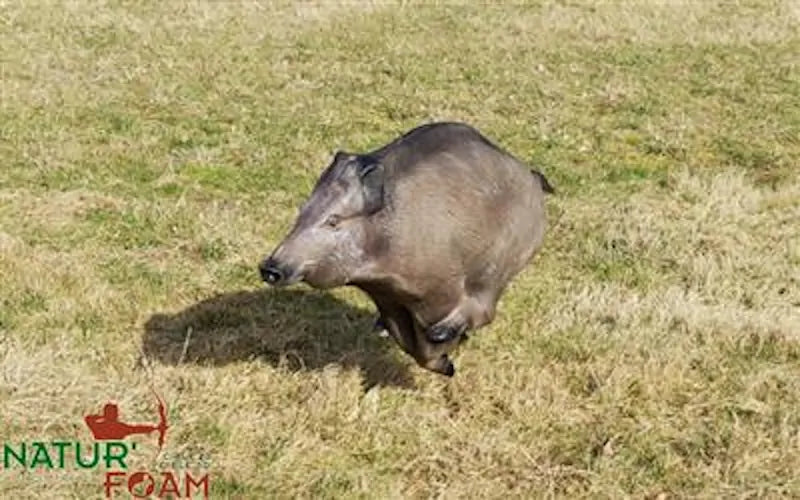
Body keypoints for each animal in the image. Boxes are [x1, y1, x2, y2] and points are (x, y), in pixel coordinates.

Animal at [259, 121, 554, 377]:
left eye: (333, 220)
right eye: (303, 209)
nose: (269, 267)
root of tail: (533, 177)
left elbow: (438, 338)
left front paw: (448, 363)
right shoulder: (389, 300)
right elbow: (407, 342)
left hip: (498, 270)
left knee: (485, 311)